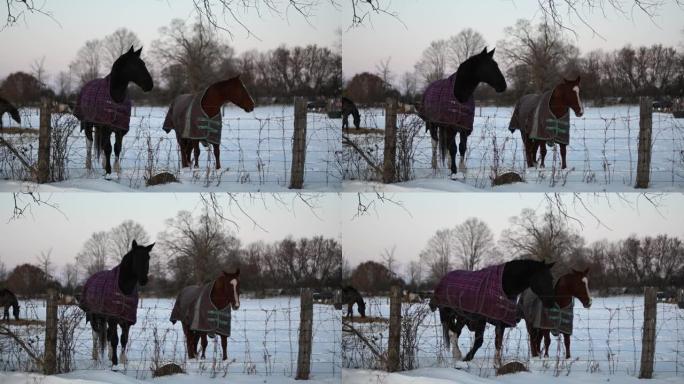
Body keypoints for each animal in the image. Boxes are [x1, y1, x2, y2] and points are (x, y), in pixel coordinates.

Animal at [75, 47, 154, 179]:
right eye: (135, 65)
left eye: (143, 64)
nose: (150, 85)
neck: (115, 97)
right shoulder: (106, 126)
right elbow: (108, 148)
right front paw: (108, 172)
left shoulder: (119, 129)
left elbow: (117, 148)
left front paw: (117, 171)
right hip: (88, 125)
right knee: (89, 144)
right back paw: (89, 169)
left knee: (100, 144)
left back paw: (102, 164)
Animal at [416, 47, 508, 179]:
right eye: (489, 66)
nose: (503, 86)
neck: (459, 95)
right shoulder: (450, 126)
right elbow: (453, 148)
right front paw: (454, 172)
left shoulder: (463, 127)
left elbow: (462, 147)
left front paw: (462, 170)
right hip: (433, 124)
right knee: (434, 142)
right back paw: (434, 167)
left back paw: (448, 164)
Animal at [430, 260, 560, 364]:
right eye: (541, 279)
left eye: (551, 279)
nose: (551, 303)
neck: (503, 286)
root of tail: (445, 277)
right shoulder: (481, 318)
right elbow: (479, 341)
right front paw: (467, 358)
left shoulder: (501, 321)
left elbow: (498, 343)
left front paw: (497, 365)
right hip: (447, 313)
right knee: (452, 332)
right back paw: (457, 355)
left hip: (462, 316)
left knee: (455, 332)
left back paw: (456, 355)